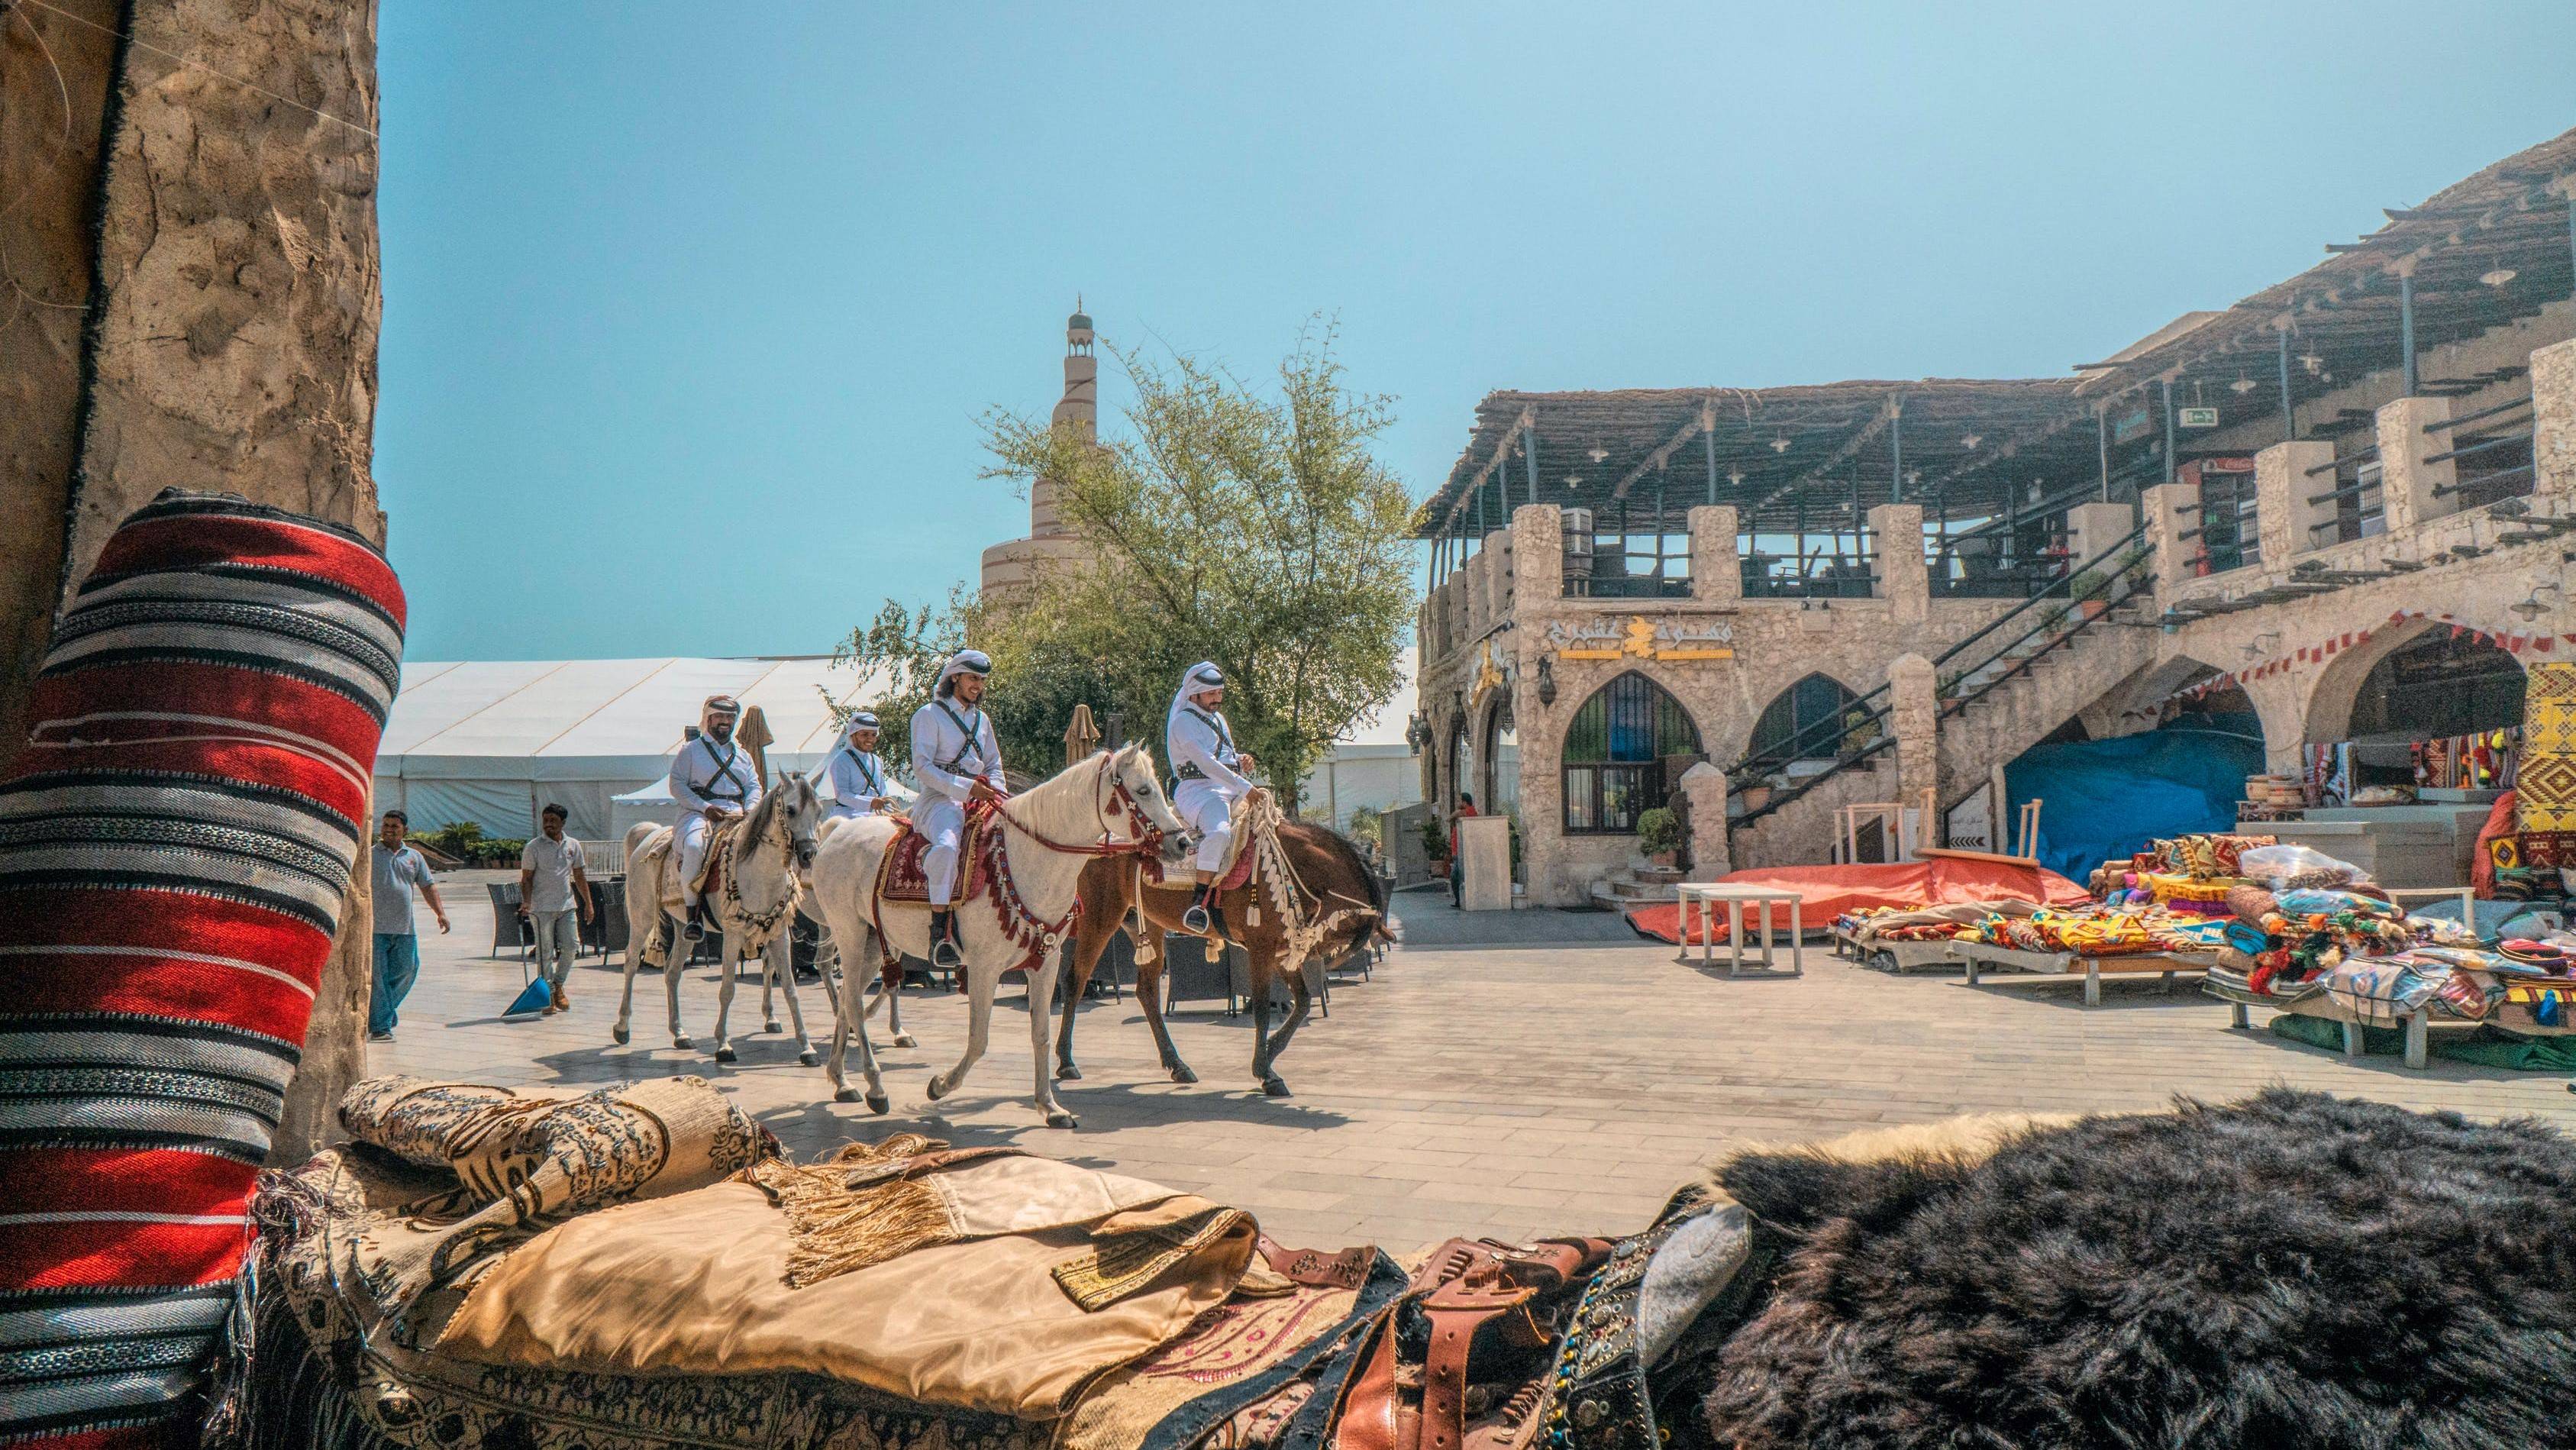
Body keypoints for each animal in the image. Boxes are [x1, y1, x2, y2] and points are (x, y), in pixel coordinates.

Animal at [608, 772, 818, 1066]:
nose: (809, 855)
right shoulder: (733, 934)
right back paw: (622, 1027)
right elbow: (728, 988)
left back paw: (680, 1033)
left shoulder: (779, 934)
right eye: (790, 810)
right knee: (630, 963)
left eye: (818, 810)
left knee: (672, 972)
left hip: (683, 927)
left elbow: (790, 988)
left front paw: (807, 1047)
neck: (760, 871)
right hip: (642, 917)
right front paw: (723, 1045)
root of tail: (650, 835)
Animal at [809, 747, 1180, 1133]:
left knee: (847, 1003)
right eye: (1142, 790)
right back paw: (875, 1087)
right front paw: (940, 1086)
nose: (1181, 841)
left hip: (869, 944)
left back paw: (841, 1081)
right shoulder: (984, 969)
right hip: (849, 935)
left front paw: (1049, 1106)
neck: (1027, 859)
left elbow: (1040, 1035)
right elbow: (978, 1041)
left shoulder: (1046, 964)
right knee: (853, 1005)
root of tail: (837, 832)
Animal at [1056, 824, 1401, 1096]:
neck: (1288, 863)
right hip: (1100, 918)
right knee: (1076, 979)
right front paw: (1265, 1071)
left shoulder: (1277, 950)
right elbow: (1262, 1009)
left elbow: (1302, 1002)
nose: (1313, 952)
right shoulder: (1261, 948)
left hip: (1146, 924)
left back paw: (1177, 1064)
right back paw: (1066, 1061)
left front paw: (1270, 1053)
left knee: (1147, 992)